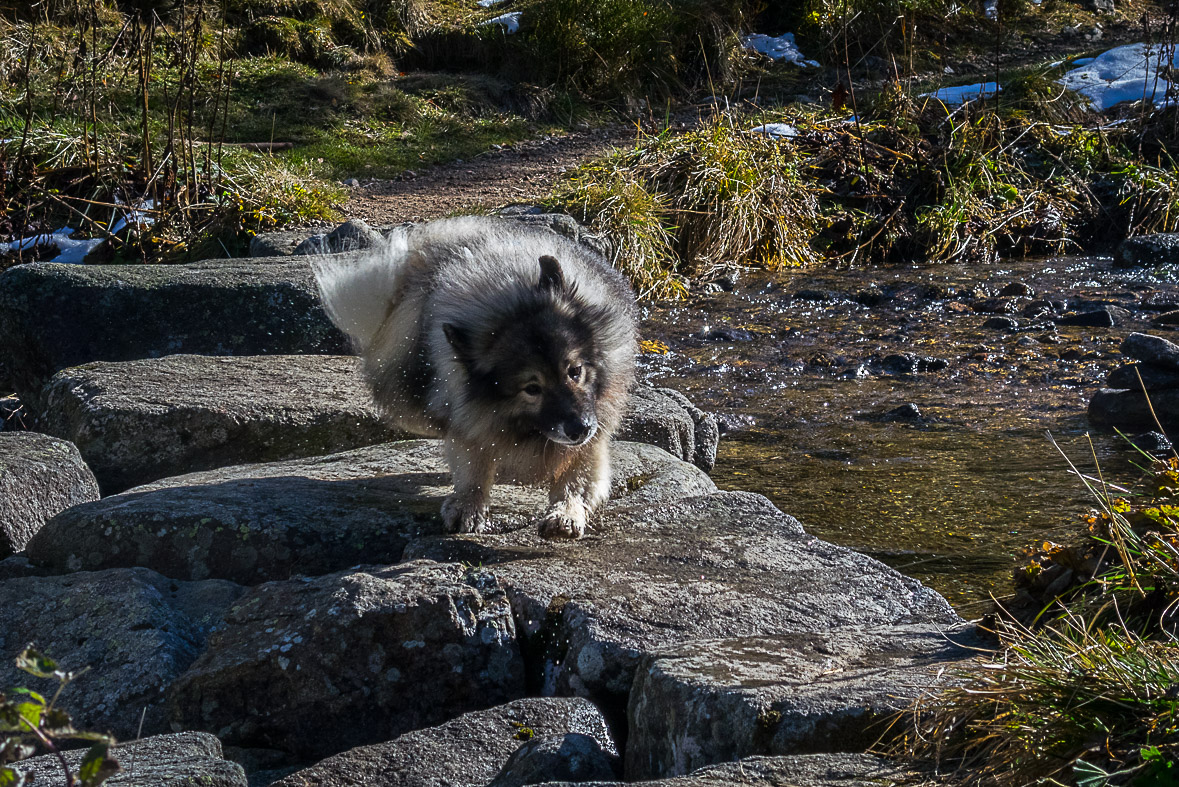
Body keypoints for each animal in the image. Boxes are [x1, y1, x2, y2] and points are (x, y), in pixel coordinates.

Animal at [313, 215, 641, 537]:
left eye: (575, 371)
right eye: (531, 388)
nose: (579, 428)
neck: (508, 302)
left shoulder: (595, 426)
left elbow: (577, 479)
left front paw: (566, 513)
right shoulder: (470, 416)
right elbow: (472, 463)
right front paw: (467, 505)